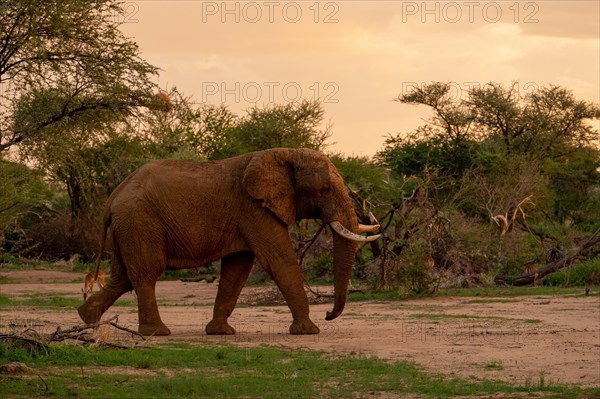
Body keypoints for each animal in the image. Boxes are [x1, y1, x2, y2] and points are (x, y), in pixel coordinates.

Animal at [77, 150, 380, 338]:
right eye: (324, 190)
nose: (328, 314)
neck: (285, 154)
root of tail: (112, 199)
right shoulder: (255, 209)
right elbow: (279, 260)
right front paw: (309, 331)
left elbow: (238, 268)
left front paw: (220, 332)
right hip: (139, 223)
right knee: (146, 273)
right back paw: (157, 333)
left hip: (128, 227)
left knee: (124, 276)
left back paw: (87, 318)